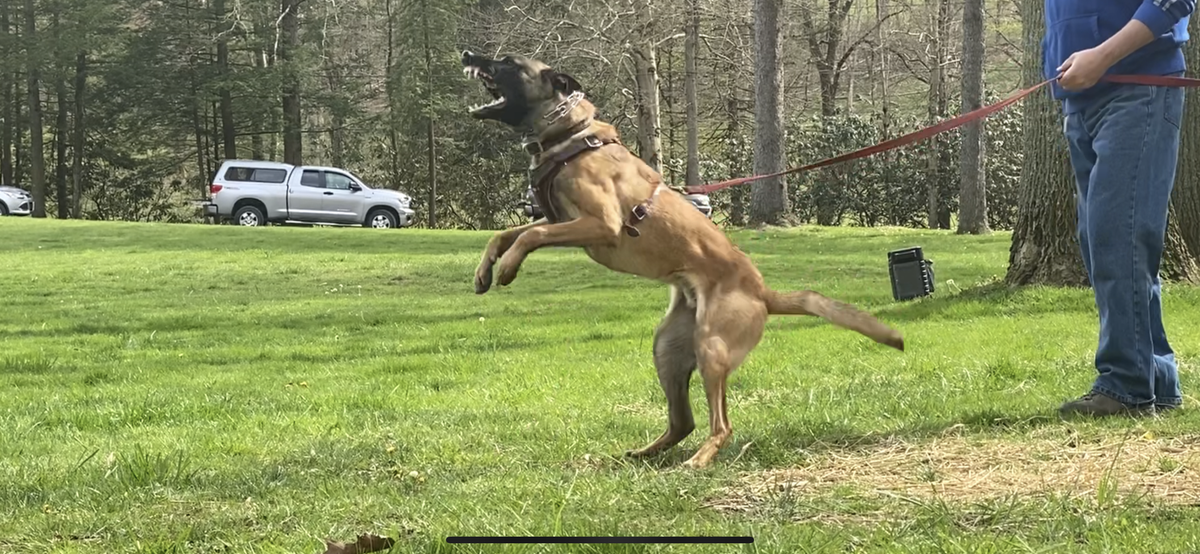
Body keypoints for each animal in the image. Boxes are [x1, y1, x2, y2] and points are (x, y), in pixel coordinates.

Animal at [458, 50, 902, 467]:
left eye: (509, 62)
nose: (467, 55)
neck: (573, 137)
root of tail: (764, 293)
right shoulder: (561, 220)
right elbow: (506, 233)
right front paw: (484, 272)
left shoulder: (600, 223)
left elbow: (530, 234)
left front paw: (509, 268)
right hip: (667, 349)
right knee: (682, 421)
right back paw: (645, 453)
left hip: (711, 348)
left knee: (721, 424)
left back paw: (699, 460)